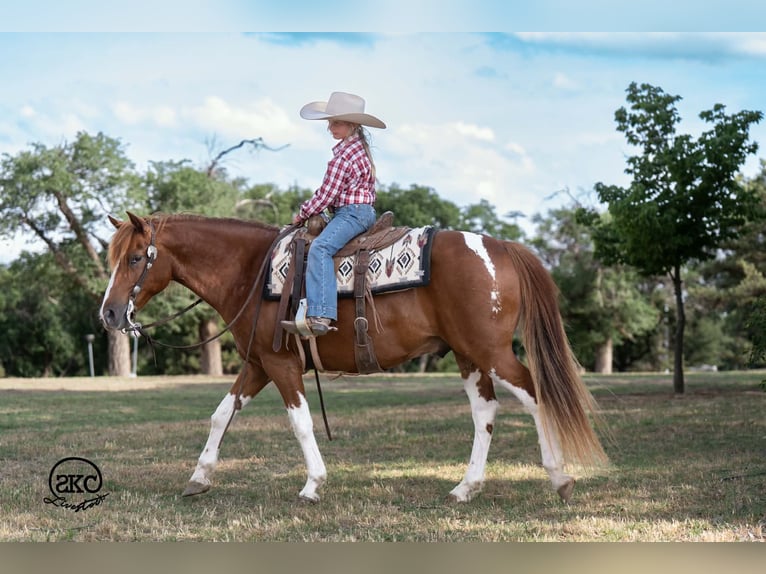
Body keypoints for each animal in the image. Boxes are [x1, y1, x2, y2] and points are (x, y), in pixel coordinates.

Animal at [99, 212, 608, 503]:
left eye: (134, 259)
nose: (109, 313)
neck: (251, 270)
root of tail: (501, 246)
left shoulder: (281, 365)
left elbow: (300, 423)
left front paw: (313, 484)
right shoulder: (258, 364)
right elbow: (222, 414)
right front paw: (199, 477)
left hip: (493, 352)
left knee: (535, 395)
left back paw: (559, 477)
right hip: (468, 355)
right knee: (485, 411)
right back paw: (467, 487)